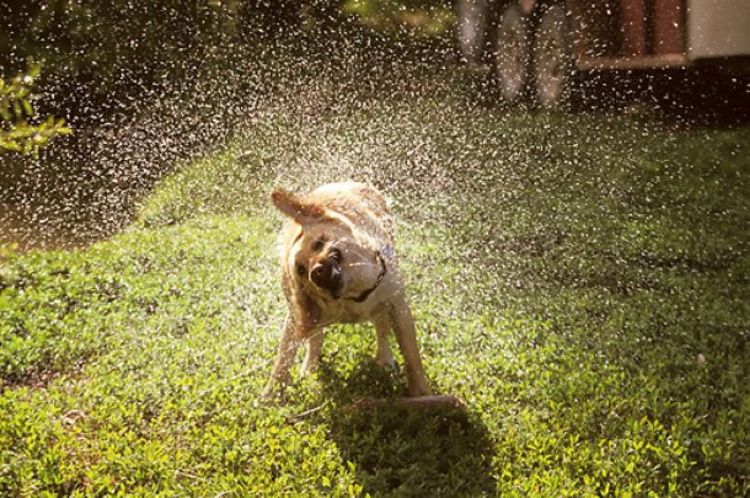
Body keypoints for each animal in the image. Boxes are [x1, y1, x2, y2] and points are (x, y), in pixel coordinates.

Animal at [264, 182, 432, 396]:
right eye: (301, 269)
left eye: (319, 242)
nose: (316, 272)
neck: (355, 293)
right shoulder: (298, 317)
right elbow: (283, 358)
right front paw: (270, 395)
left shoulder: (398, 306)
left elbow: (411, 354)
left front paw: (421, 392)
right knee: (316, 340)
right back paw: (309, 369)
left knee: (382, 330)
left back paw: (385, 360)